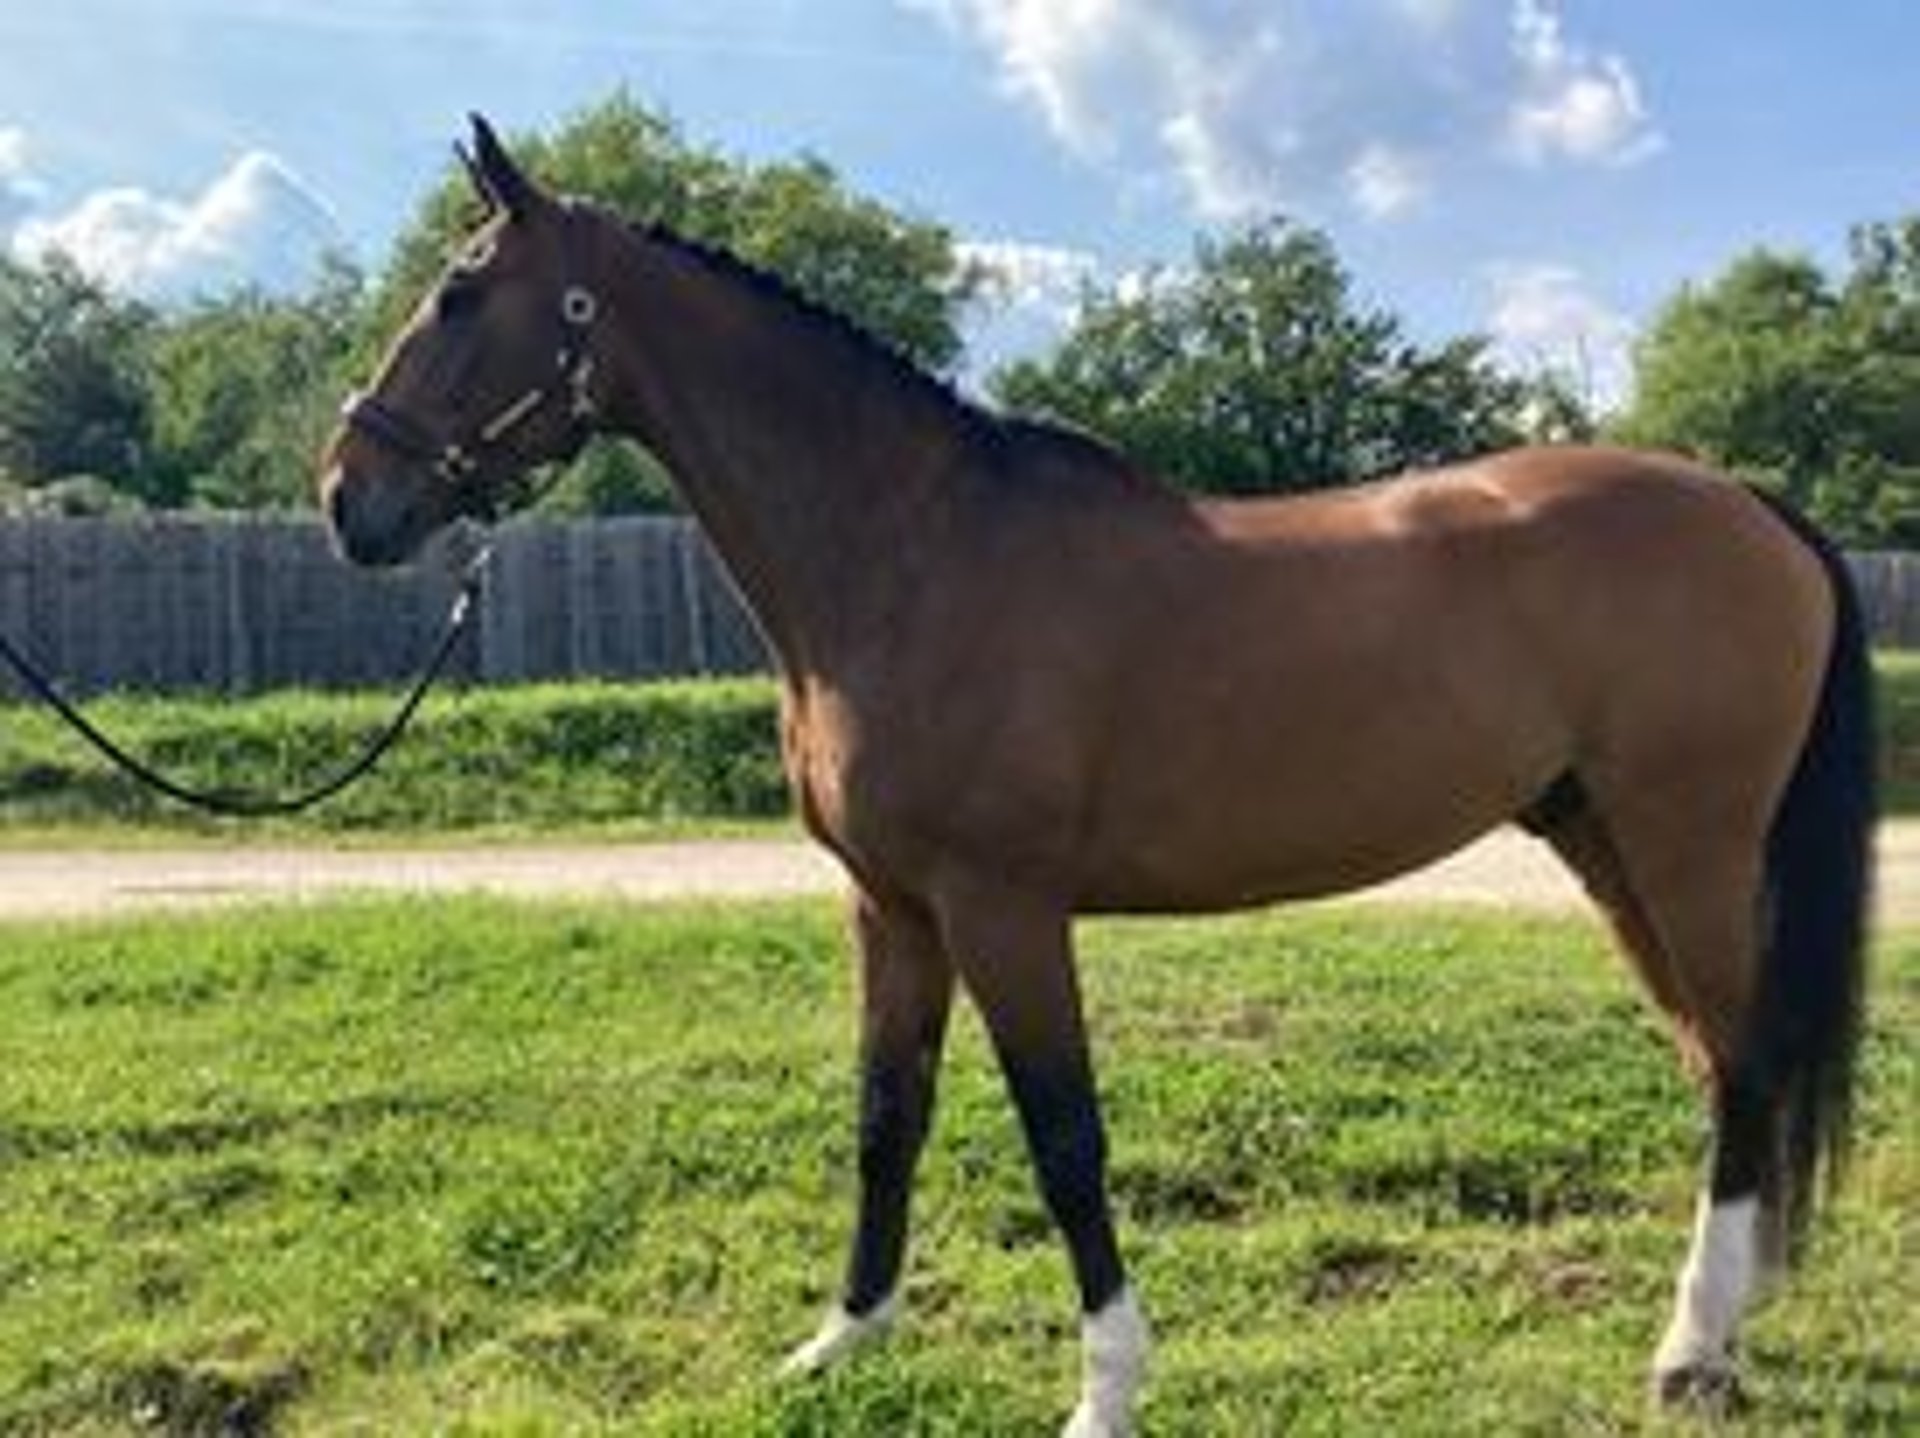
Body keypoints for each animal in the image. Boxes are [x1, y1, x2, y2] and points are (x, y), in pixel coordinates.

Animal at [326, 117, 1873, 1428]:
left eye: (460, 293)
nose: (349, 496)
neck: (916, 554)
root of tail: (1754, 507)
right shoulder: (892, 908)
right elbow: (886, 1118)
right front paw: (843, 1338)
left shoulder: (1005, 909)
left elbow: (1063, 1137)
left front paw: (1107, 1388)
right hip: (1600, 838)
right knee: (1723, 1062)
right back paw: (1733, 1322)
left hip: (1685, 842)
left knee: (1741, 1059)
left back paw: (1690, 1350)